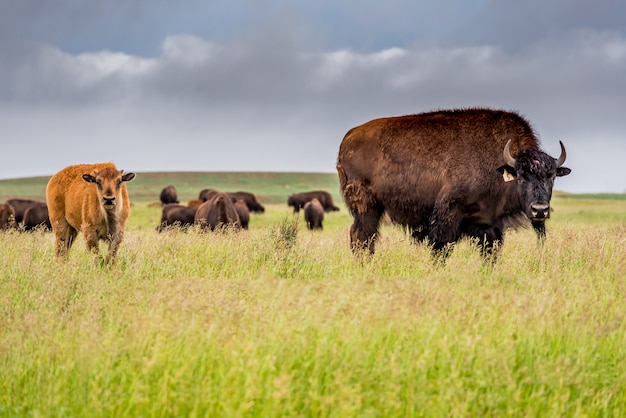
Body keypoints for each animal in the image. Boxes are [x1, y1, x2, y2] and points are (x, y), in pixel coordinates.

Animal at [336, 107, 572, 258]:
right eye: (521, 176)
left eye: (552, 176)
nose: (540, 210)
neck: (500, 166)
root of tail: (348, 138)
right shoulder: (448, 214)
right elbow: (441, 248)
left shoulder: (490, 225)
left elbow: (491, 253)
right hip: (367, 206)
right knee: (361, 236)